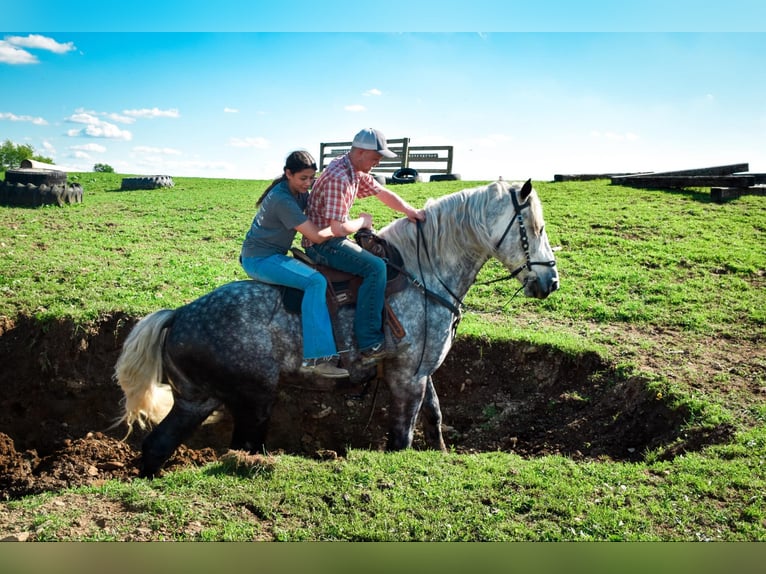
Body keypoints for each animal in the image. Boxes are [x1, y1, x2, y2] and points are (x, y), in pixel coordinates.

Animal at [114, 180, 560, 476]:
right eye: (534, 228)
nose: (551, 281)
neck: (423, 274)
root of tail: (178, 315)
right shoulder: (406, 377)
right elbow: (402, 438)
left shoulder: (421, 371)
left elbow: (434, 418)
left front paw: (443, 454)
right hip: (253, 400)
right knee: (238, 446)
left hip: (198, 399)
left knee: (157, 446)